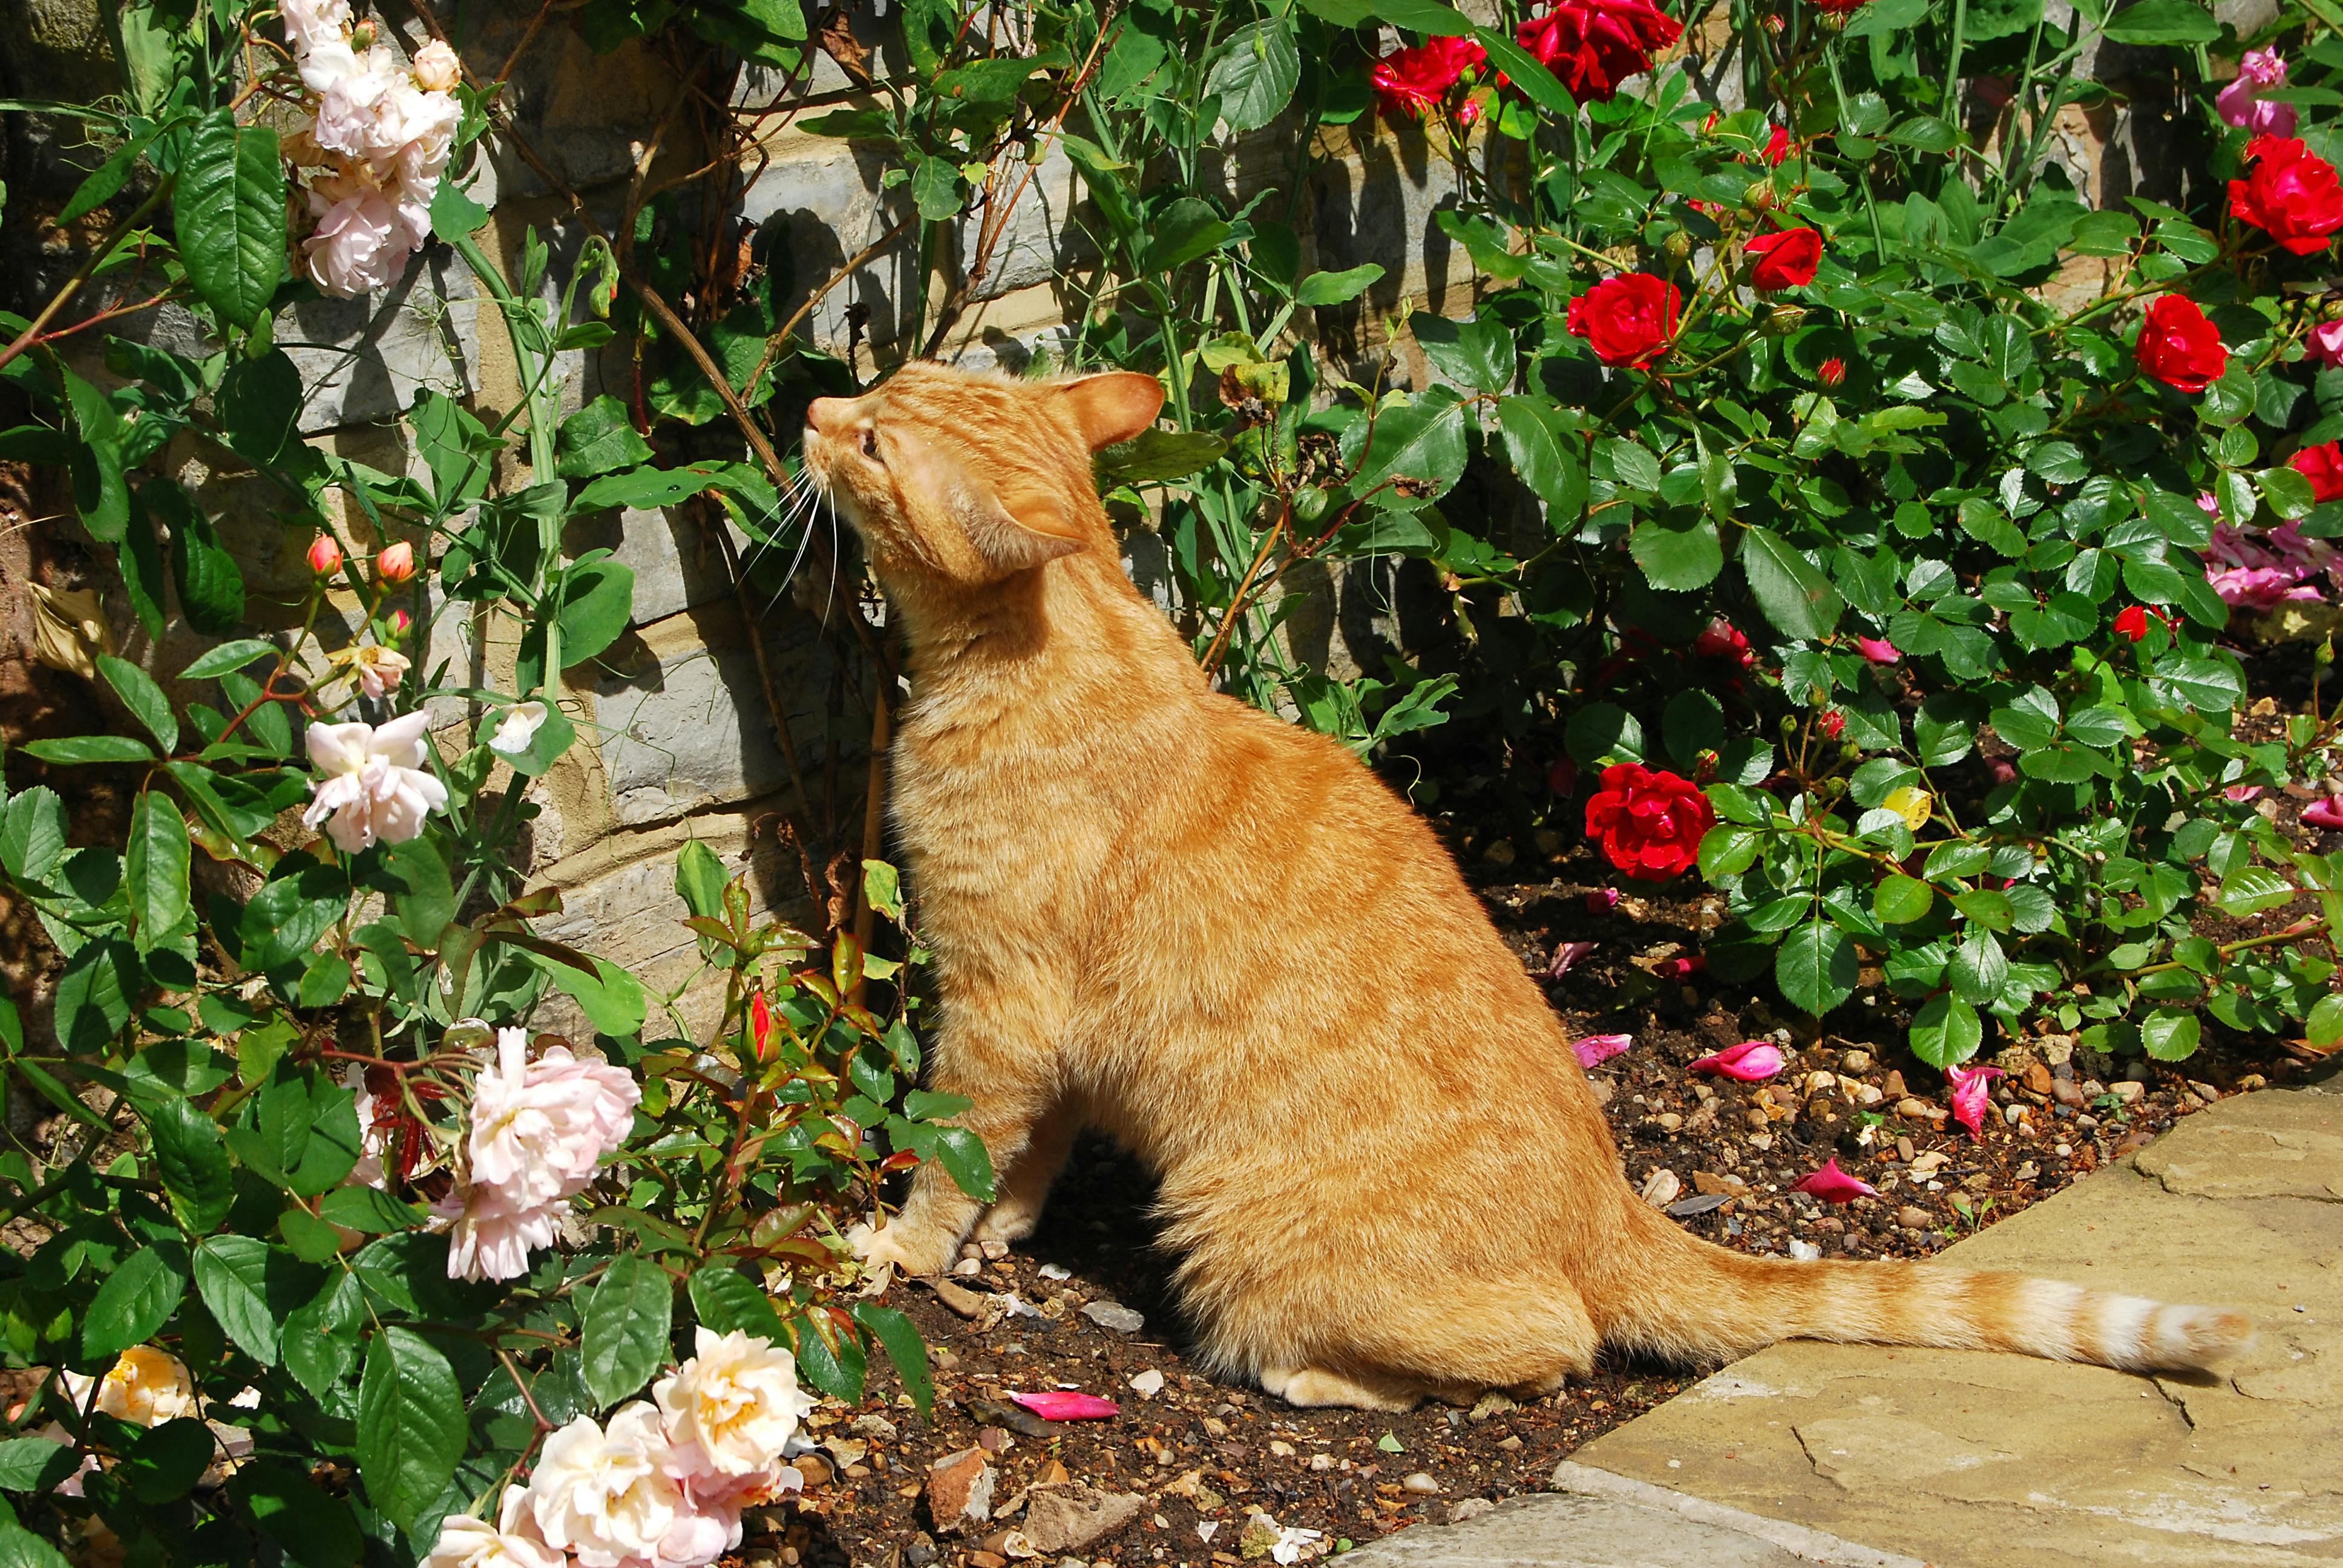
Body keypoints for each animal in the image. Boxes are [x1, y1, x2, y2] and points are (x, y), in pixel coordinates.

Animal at [805, 363, 2249, 1406]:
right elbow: (1031, 1145)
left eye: (872, 443)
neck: (1066, 644)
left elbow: (953, 1143)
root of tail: (1615, 1207)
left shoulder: (999, 998)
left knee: (1549, 1346)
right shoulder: (1041, 1027)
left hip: (1232, 1232)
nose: (814, 410)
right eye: (880, 388)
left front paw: (910, 1248)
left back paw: (1313, 1376)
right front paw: (1004, 1229)